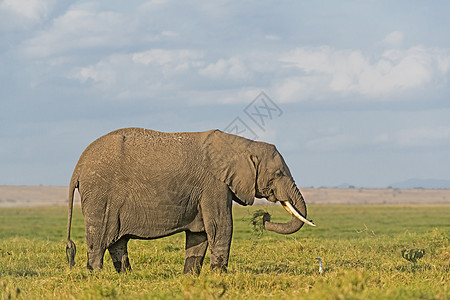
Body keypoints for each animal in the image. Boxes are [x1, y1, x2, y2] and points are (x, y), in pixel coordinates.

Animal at [65, 127, 314, 274]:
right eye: (279, 174)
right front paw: (219, 276)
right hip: (100, 195)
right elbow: (222, 226)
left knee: (118, 241)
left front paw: (191, 278)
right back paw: (96, 275)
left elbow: (199, 234)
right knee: (100, 238)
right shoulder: (215, 185)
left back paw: (126, 276)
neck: (243, 145)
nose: (265, 218)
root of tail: (78, 166)